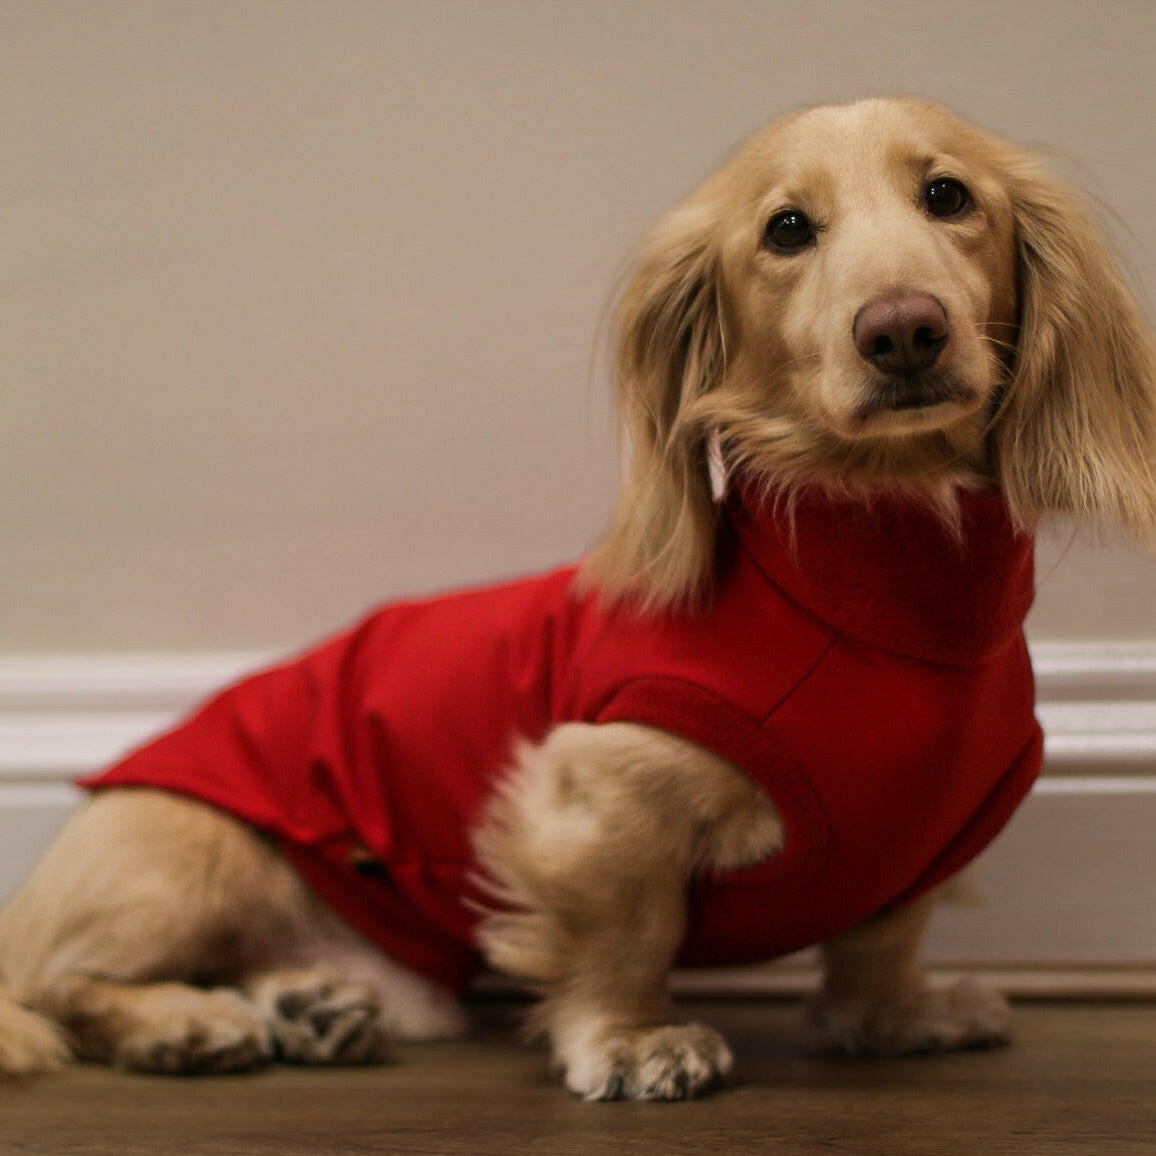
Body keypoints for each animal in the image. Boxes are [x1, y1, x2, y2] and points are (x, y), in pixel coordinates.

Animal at [2, 97, 1156, 1091]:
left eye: (948, 197)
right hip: (184, 859)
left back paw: (304, 1005)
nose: (904, 330)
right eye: (786, 229)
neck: (881, 596)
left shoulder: (913, 846)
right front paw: (633, 1040)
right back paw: (183, 1024)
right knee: (65, 987)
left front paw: (900, 1016)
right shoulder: (597, 793)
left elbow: (879, 942)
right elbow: (626, 931)